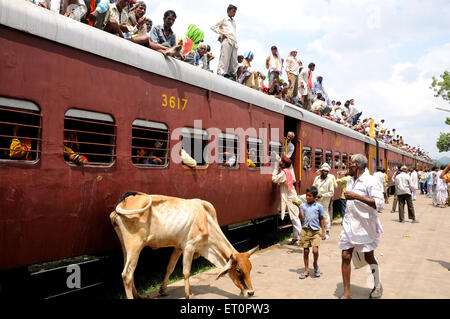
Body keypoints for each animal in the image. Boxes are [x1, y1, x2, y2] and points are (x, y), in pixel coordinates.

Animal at [109, 192, 258, 300]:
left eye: (250, 268)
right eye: (238, 270)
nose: (250, 292)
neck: (206, 220)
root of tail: (123, 203)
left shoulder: (178, 247)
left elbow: (169, 268)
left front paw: (162, 290)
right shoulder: (189, 246)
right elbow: (186, 272)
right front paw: (189, 294)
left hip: (126, 248)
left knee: (129, 272)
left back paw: (138, 296)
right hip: (135, 246)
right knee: (127, 274)